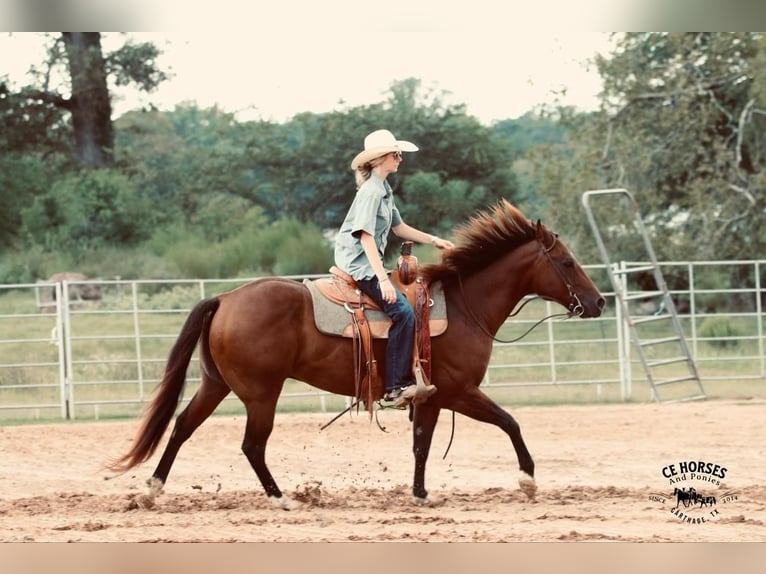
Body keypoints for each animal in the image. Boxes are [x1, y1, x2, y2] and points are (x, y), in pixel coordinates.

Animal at [108, 200, 608, 510]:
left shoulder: (429, 396)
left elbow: (422, 445)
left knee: (182, 427)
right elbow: (510, 422)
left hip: (217, 384)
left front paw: (421, 493)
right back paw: (280, 498)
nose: (599, 302)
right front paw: (528, 480)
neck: (467, 306)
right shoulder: (460, 392)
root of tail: (226, 298)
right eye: (567, 262)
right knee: (252, 444)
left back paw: (151, 491)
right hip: (260, 393)